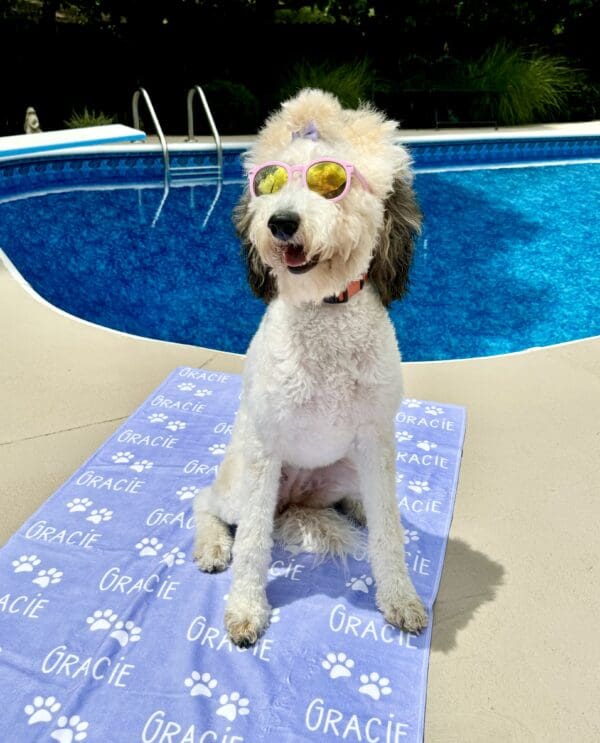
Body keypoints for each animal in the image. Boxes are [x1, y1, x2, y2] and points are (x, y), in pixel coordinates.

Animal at [195, 85, 428, 644]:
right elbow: (253, 543)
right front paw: (245, 609)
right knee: (205, 503)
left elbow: (389, 532)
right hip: (241, 481)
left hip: (345, 469)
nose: (281, 223)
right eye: (269, 183)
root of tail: (296, 501)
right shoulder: (266, 449)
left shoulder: (375, 441)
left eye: (330, 183)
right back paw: (212, 545)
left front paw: (400, 597)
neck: (324, 309)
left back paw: (359, 507)